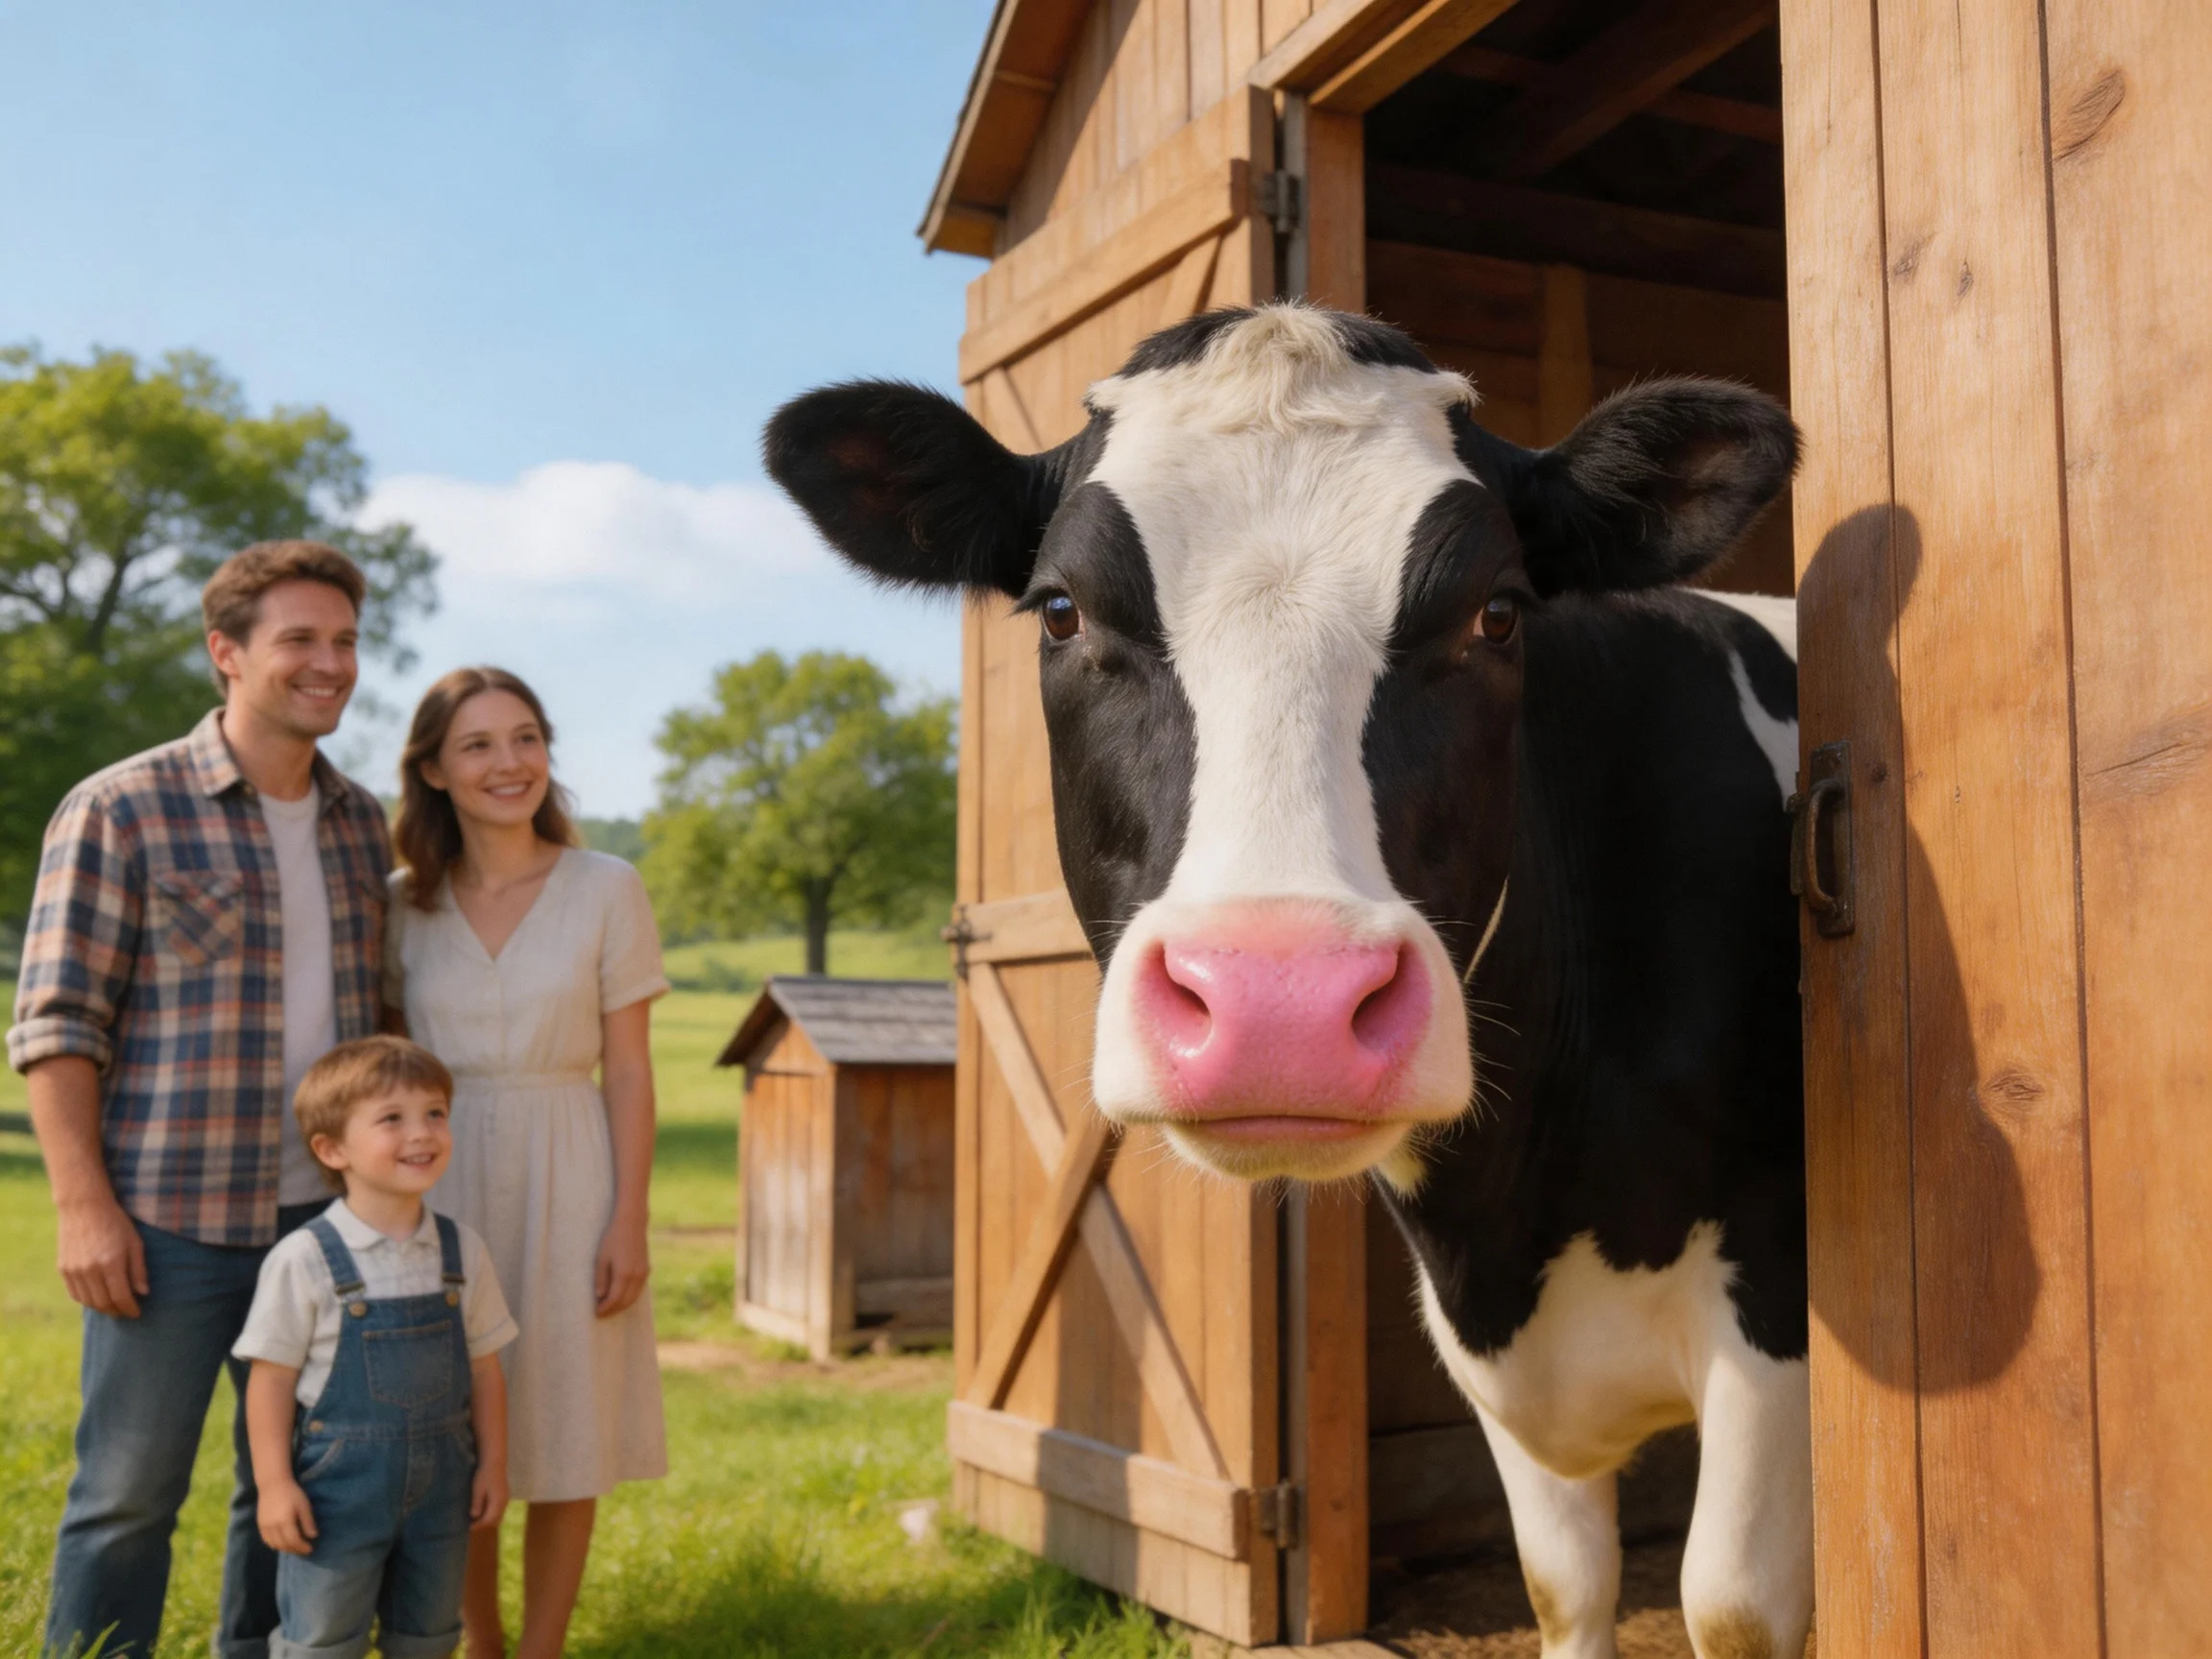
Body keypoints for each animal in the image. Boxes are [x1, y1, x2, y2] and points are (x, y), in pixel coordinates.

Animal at [767, 303, 1809, 1659]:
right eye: (1058, 610)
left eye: (1499, 613)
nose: (1282, 1004)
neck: (1527, 1214)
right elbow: (1563, 1586)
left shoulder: (1773, 1297)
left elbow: (1730, 1604)